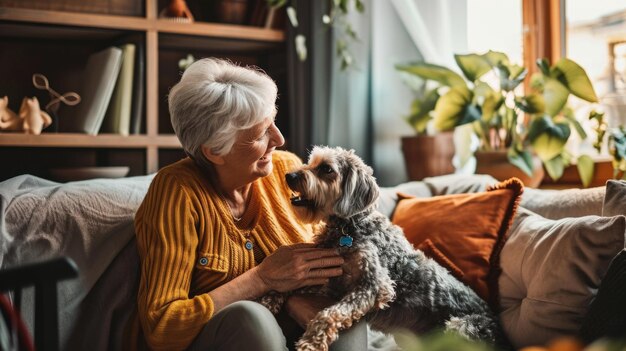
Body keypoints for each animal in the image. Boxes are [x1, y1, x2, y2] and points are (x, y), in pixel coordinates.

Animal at [260, 146, 504, 351]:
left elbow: (330, 313)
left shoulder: (375, 285)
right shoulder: (328, 277)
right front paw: (268, 300)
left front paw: (311, 341)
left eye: (327, 169)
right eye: (311, 163)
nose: (289, 176)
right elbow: (292, 283)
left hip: (458, 328)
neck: (349, 227)